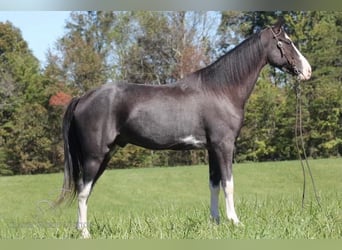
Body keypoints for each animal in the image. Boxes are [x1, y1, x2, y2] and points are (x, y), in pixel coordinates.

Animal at [58, 20, 310, 238]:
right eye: (286, 42)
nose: (307, 71)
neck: (221, 91)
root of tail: (83, 98)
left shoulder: (212, 149)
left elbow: (214, 185)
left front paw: (216, 222)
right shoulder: (224, 146)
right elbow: (228, 184)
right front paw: (235, 222)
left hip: (105, 155)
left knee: (86, 191)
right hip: (94, 156)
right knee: (83, 191)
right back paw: (85, 234)